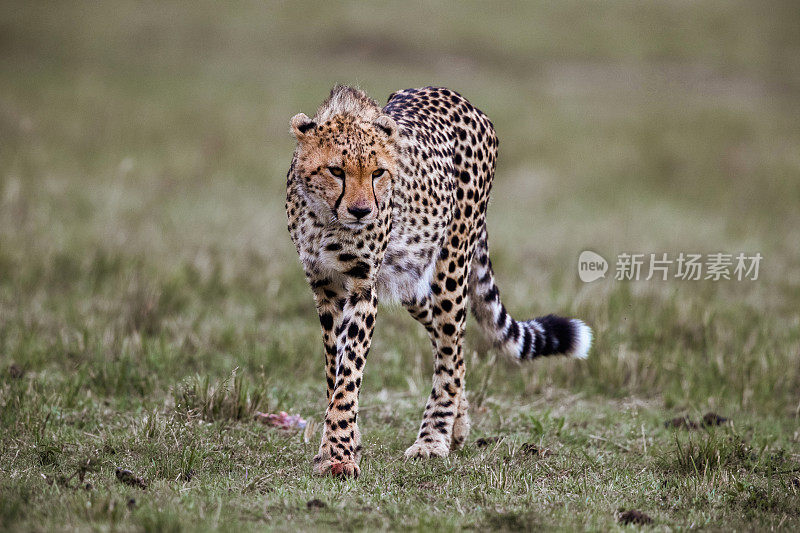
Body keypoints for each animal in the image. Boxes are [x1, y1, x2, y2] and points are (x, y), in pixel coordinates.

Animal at [284, 84, 592, 478]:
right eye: (336, 170)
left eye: (378, 173)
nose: (362, 211)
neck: (327, 220)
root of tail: (459, 97)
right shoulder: (326, 288)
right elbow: (333, 370)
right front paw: (342, 443)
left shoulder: (362, 288)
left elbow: (348, 372)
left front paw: (338, 454)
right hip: (412, 281)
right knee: (454, 347)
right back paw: (457, 427)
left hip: (450, 266)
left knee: (450, 349)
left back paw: (433, 439)